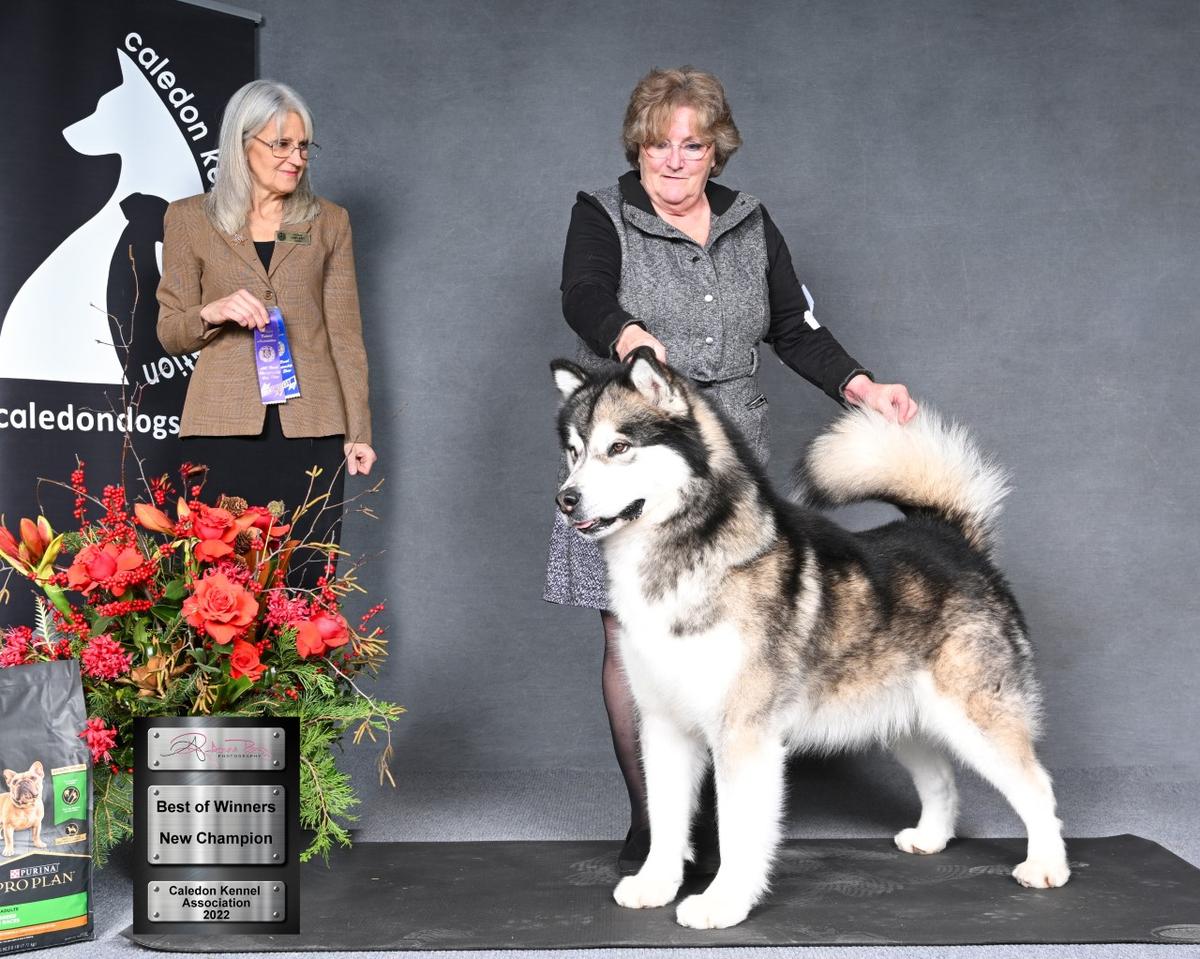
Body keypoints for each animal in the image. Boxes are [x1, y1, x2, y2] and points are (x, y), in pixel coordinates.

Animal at [549, 352, 1070, 931]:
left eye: (619, 447)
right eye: (573, 451)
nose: (566, 499)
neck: (682, 561)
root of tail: (949, 535)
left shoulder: (744, 733)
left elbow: (737, 830)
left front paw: (723, 901)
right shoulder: (662, 723)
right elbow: (665, 818)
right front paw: (656, 884)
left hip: (974, 716)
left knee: (1036, 786)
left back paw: (1047, 865)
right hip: (902, 718)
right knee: (941, 779)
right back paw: (931, 838)